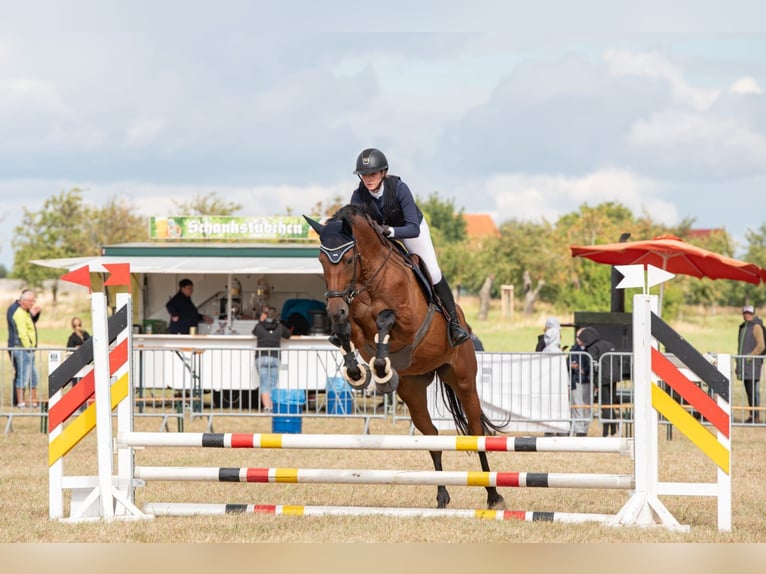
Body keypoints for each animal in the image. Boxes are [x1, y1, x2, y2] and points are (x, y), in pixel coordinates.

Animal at [304, 204, 506, 510]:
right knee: (432, 436)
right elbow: (347, 333)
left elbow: (385, 320)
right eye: (320, 260)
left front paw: (380, 369)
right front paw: (357, 373)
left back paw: (494, 496)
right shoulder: (356, 324)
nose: (334, 309)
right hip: (413, 390)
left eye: (349, 259)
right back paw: (442, 495)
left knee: (475, 432)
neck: (370, 280)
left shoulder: (408, 321)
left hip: (462, 378)